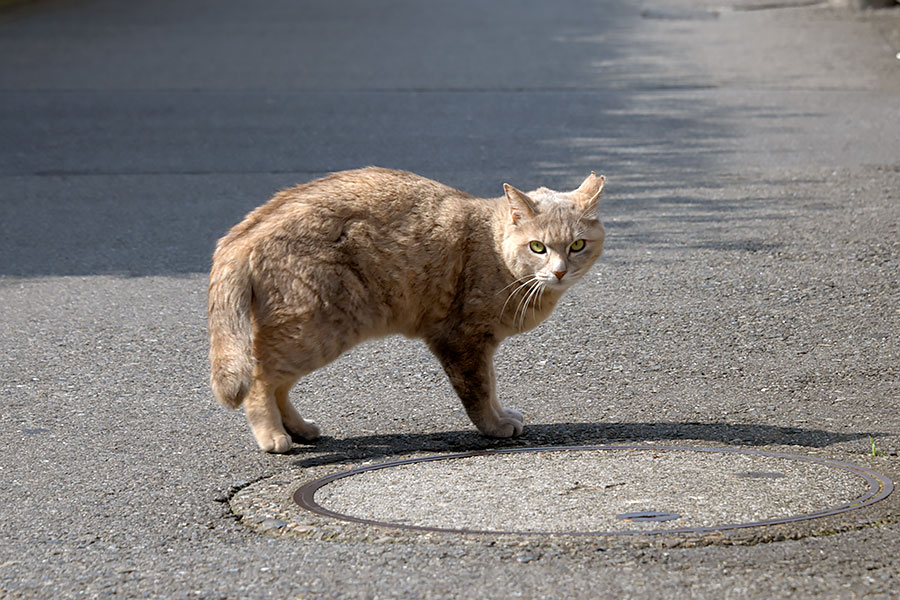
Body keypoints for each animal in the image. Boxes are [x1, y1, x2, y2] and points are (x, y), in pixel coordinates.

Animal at [207, 166, 608, 452]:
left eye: (577, 245)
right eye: (538, 247)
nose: (559, 271)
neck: (494, 248)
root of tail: (242, 235)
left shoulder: (478, 345)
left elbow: (491, 387)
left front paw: (501, 414)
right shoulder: (462, 341)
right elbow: (479, 392)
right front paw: (495, 426)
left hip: (309, 333)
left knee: (279, 384)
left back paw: (300, 428)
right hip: (313, 332)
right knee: (261, 380)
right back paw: (273, 436)